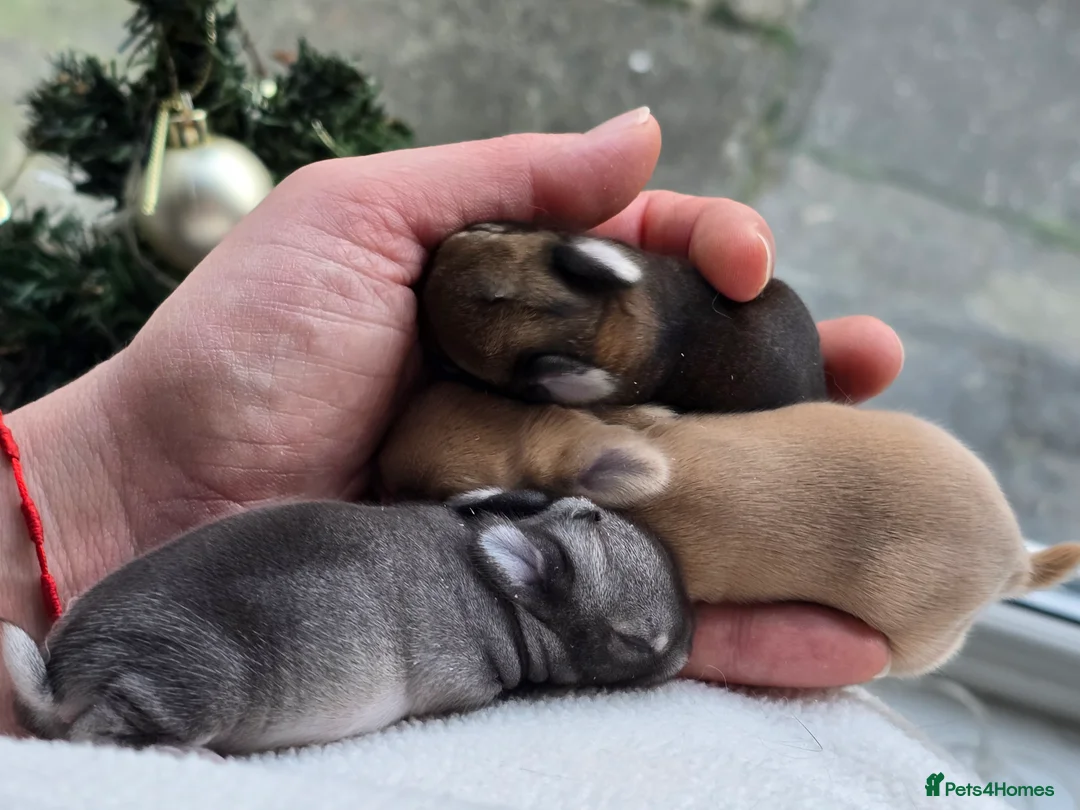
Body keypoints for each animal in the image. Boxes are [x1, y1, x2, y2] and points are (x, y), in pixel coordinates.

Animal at [1, 491, 692, 755]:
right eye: (636, 639)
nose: (688, 649)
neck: (507, 601)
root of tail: (63, 674)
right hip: (192, 686)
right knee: (99, 730)